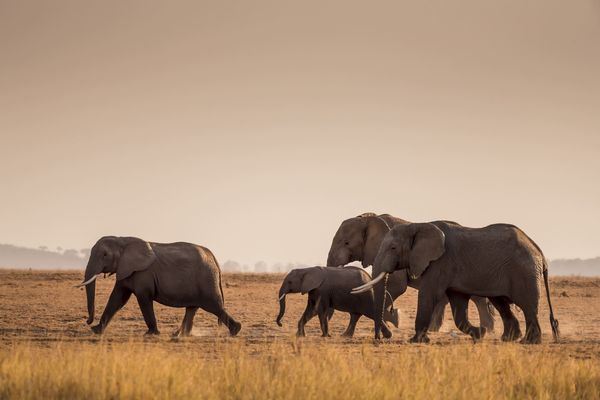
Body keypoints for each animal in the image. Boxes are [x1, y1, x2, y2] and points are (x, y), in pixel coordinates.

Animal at [77, 236, 241, 336]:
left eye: (105, 255)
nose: (87, 321)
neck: (122, 239)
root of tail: (214, 258)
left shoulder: (142, 274)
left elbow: (143, 298)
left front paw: (151, 334)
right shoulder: (126, 270)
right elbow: (117, 298)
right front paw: (96, 330)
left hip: (206, 280)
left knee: (214, 306)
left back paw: (235, 330)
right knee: (193, 308)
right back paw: (179, 335)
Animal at [326, 214, 494, 332]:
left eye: (346, 243)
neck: (369, 218)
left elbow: (397, 286)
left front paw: (394, 319)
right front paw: (393, 320)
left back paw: (488, 329)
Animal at [354, 220, 560, 346]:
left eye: (393, 247)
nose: (378, 339)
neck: (417, 225)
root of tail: (539, 252)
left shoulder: (440, 263)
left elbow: (428, 295)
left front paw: (416, 340)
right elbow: (458, 305)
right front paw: (480, 334)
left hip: (524, 272)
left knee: (528, 306)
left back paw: (529, 342)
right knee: (501, 303)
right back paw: (510, 339)